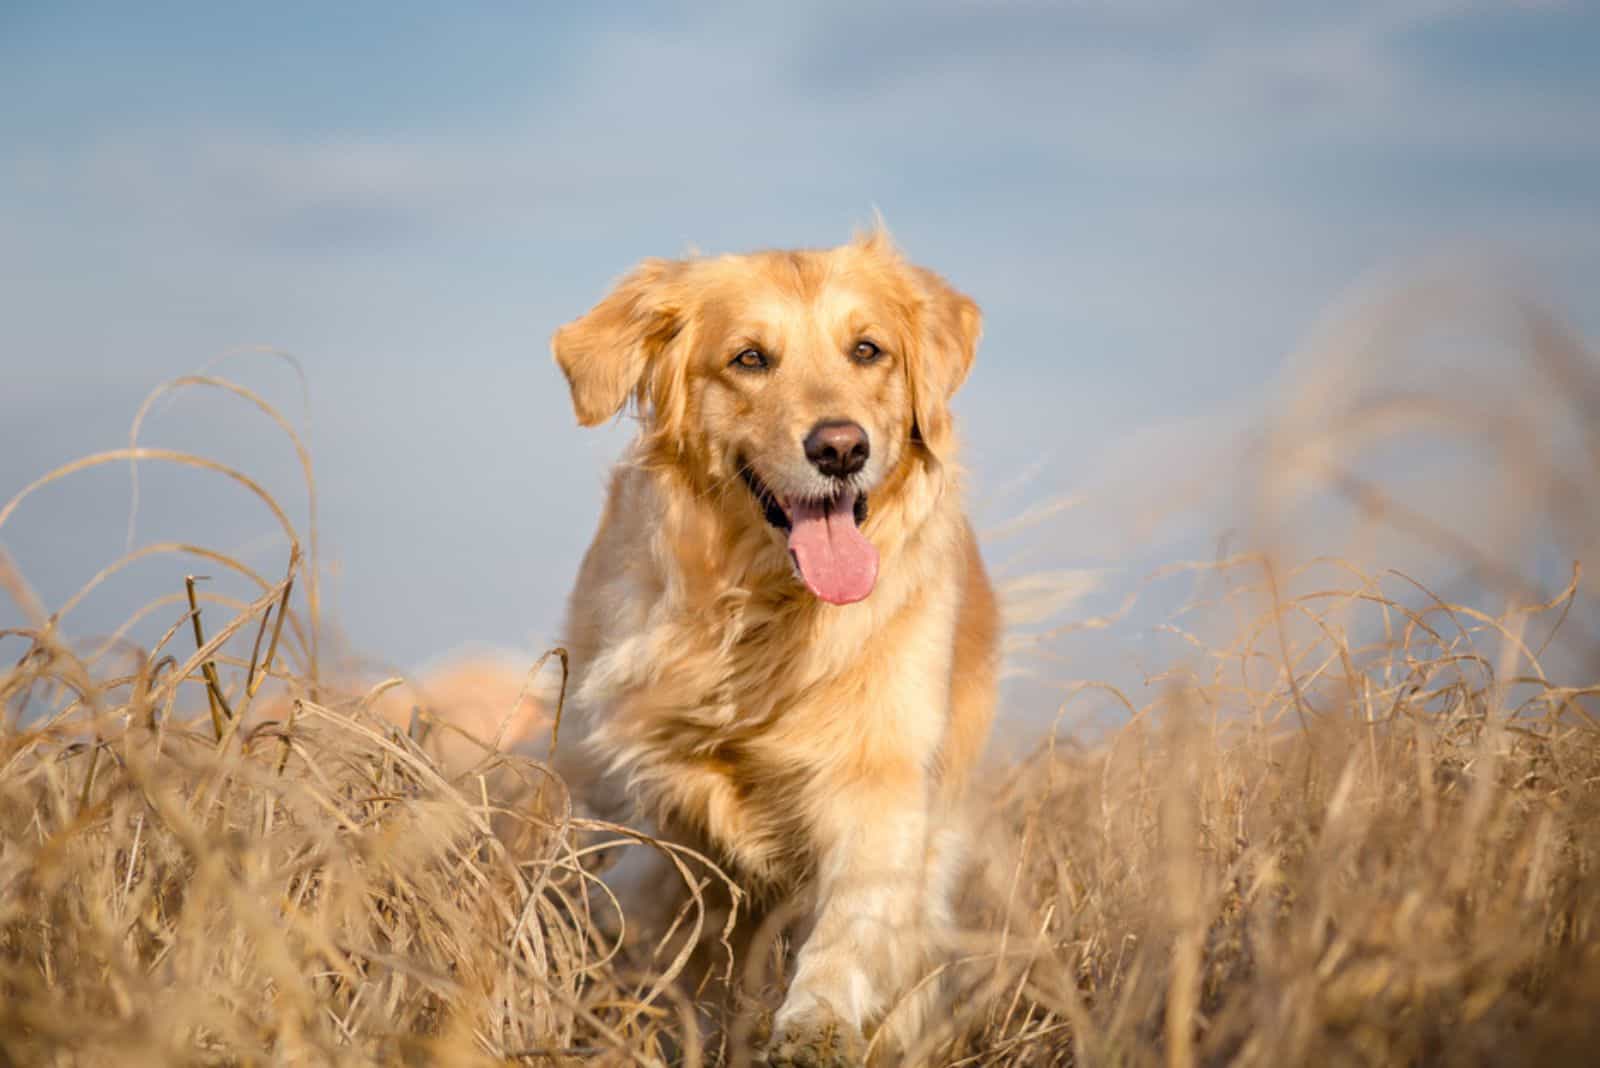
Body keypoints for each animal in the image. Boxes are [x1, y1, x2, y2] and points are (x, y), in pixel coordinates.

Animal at [556, 225, 992, 1061]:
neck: (767, 613)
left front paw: (816, 1020)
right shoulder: (660, 803)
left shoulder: (881, 776)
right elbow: (672, 920)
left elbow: (853, 918)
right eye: (750, 358)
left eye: (867, 349)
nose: (841, 448)